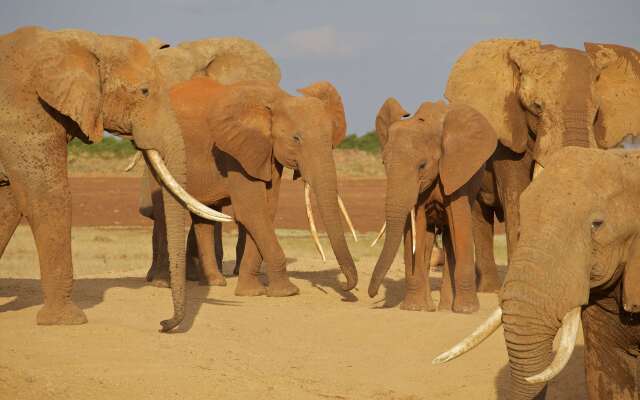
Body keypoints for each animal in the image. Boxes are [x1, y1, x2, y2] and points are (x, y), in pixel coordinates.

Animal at [0, 25, 232, 332]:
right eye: (144, 91)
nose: (163, 323)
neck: (80, 42)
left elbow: (9, 204)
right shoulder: (25, 114)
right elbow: (46, 196)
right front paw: (67, 321)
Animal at [368, 98, 498, 314]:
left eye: (422, 165)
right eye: (384, 163)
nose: (372, 294)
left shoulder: (456, 171)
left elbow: (459, 225)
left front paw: (467, 310)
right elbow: (416, 230)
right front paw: (413, 308)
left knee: (449, 240)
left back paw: (446, 308)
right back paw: (430, 307)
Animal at [444, 39, 640, 282]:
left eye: (596, 112)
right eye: (536, 107)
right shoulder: (508, 139)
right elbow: (516, 193)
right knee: (479, 215)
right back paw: (489, 287)